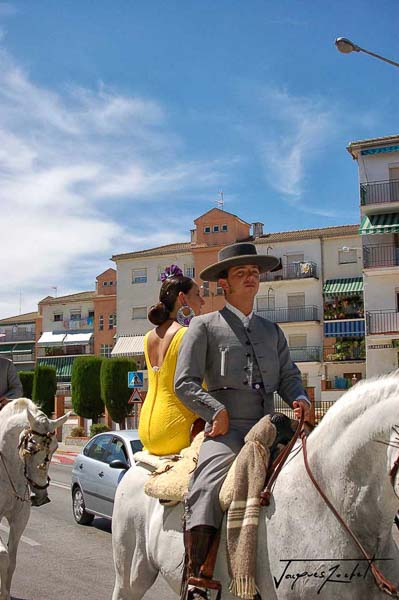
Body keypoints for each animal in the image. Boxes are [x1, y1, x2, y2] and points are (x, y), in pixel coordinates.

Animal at [0, 398, 68, 600]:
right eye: (30, 448)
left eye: (55, 447)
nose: (40, 496)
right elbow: (3, 556)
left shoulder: (20, 519)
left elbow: (11, 560)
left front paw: (5, 592)